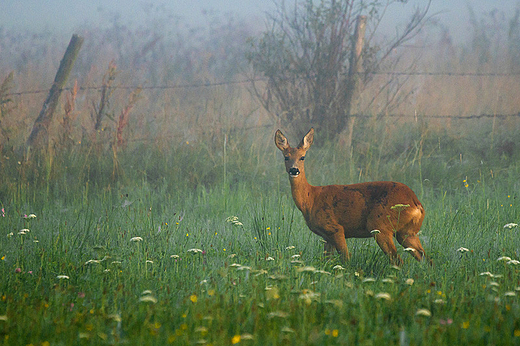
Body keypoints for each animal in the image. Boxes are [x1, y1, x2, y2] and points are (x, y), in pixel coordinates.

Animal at [274, 127, 428, 264]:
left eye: (302, 157)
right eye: (286, 157)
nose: (294, 170)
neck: (310, 199)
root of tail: (416, 203)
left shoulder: (335, 228)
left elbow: (346, 260)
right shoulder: (327, 237)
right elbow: (326, 262)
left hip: (380, 225)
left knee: (398, 260)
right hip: (407, 232)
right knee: (425, 258)